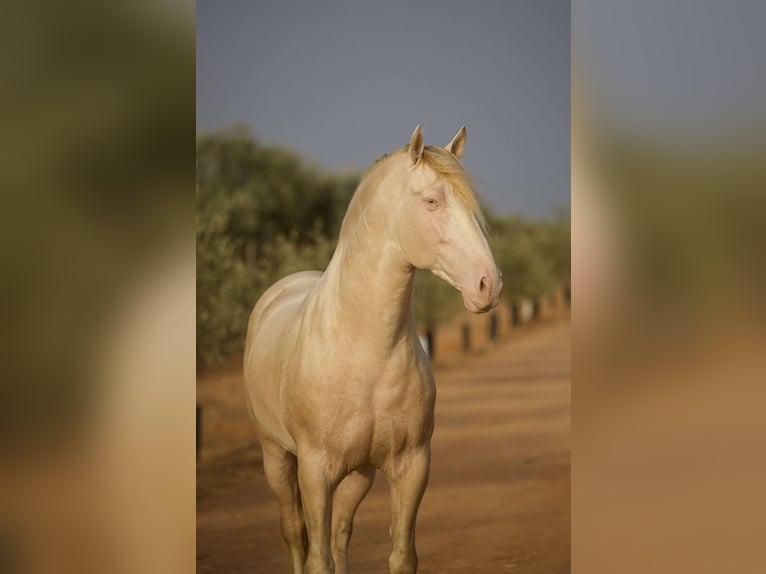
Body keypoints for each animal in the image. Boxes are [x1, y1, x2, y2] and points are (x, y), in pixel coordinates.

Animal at [244, 126, 504, 574]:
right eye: (432, 200)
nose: (489, 284)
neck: (365, 353)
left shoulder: (412, 466)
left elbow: (399, 554)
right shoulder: (315, 472)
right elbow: (317, 558)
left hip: (358, 474)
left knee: (341, 533)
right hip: (276, 458)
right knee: (295, 534)